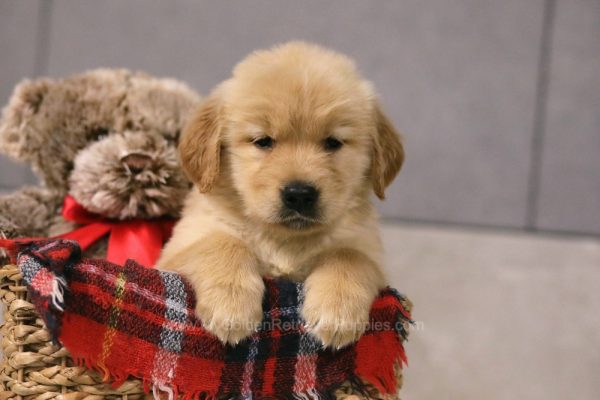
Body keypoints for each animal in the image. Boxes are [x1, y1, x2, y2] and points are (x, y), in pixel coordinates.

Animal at [159, 39, 404, 346]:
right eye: (263, 141)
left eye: (333, 142)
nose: (299, 194)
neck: (284, 241)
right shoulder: (177, 249)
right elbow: (221, 242)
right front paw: (231, 305)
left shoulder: (370, 251)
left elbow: (349, 255)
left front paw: (337, 312)